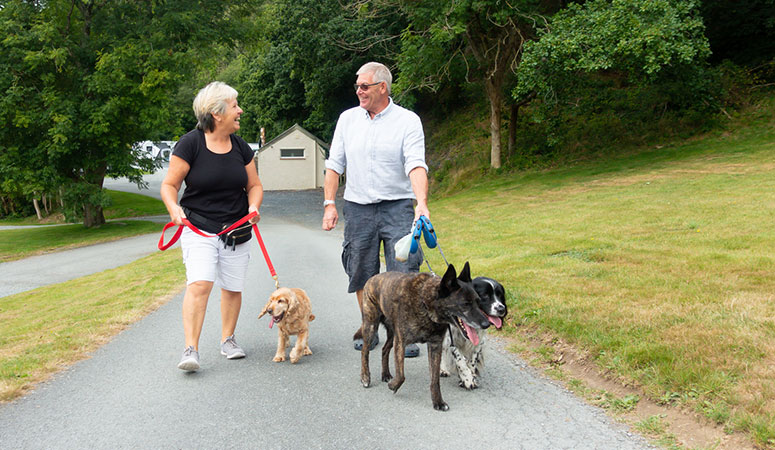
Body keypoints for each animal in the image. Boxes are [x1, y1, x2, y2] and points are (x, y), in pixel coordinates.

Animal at [360, 260, 492, 412]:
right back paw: (365, 377)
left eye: (478, 301)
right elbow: (401, 375)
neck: (425, 303)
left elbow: (435, 380)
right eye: (465, 304)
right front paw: (393, 385)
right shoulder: (401, 342)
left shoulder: (435, 346)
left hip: (392, 334)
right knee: (365, 351)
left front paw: (438, 402)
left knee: (384, 349)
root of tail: (372, 278)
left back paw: (385, 374)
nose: (487, 324)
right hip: (371, 326)